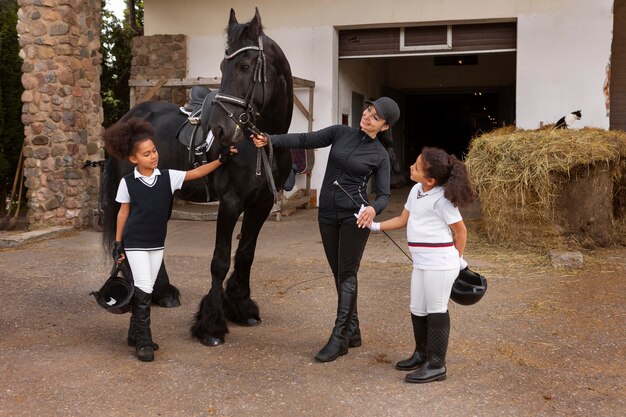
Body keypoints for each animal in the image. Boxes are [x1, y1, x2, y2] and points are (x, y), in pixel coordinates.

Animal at [103, 8, 294, 344]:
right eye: (222, 67)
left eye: (245, 66)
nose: (219, 129)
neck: (257, 142)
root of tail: (127, 120)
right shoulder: (230, 202)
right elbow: (220, 260)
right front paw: (212, 324)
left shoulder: (261, 203)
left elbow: (246, 254)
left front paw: (242, 307)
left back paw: (163, 292)